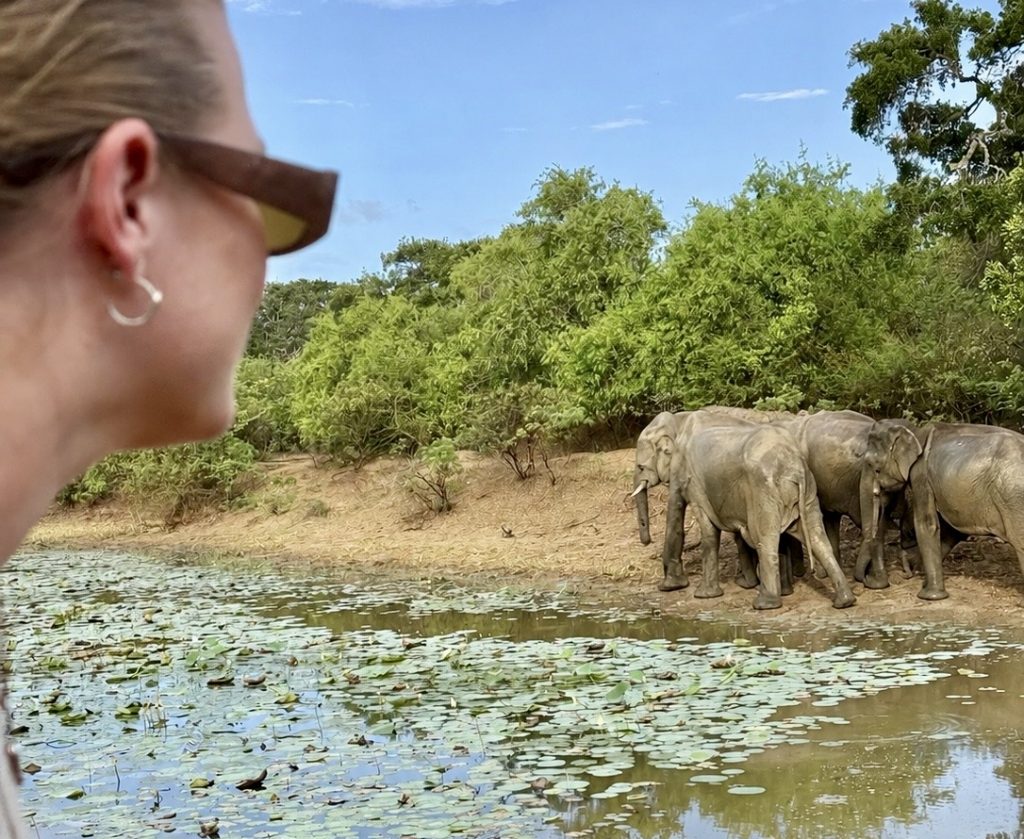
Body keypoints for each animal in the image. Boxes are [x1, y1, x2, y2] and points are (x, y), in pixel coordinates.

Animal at [660, 416, 855, 610]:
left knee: (764, 539)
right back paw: (845, 601)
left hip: (764, 490)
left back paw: (765, 604)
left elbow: (709, 531)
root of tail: (795, 469)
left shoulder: (696, 486)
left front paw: (703, 595)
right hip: (808, 491)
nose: (665, 587)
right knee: (818, 539)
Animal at [909, 423, 1024, 601]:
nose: (908, 570)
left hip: (1013, 497)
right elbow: (952, 531)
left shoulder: (921, 476)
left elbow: (927, 523)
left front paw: (928, 594)